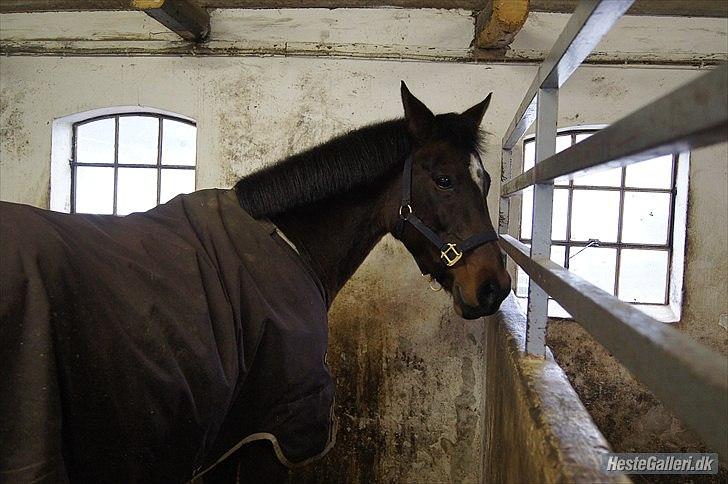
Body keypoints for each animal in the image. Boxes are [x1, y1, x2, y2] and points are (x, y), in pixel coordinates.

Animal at [0, 81, 512, 482]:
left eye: (486, 181)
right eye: (443, 179)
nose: (495, 286)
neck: (287, 243)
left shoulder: (230, 435)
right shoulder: (273, 430)